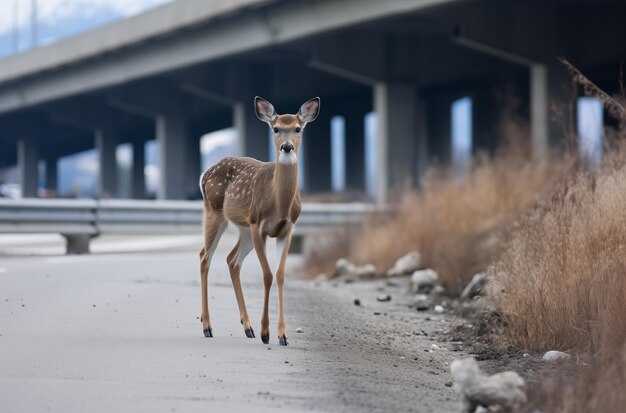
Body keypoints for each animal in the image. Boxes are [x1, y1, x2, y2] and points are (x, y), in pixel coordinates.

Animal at [197, 96, 320, 344]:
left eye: (298, 128)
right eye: (276, 129)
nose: (286, 147)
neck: (278, 204)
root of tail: (205, 173)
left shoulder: (287, 229)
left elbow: (280, 275)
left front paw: (282, 335)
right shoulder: (258, 224)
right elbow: (267, 275)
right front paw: (266, 332)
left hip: (242, 228)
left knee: (231, 260)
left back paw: (247, 327)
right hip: (215, 212)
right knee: (205, 256)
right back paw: (207, 326)